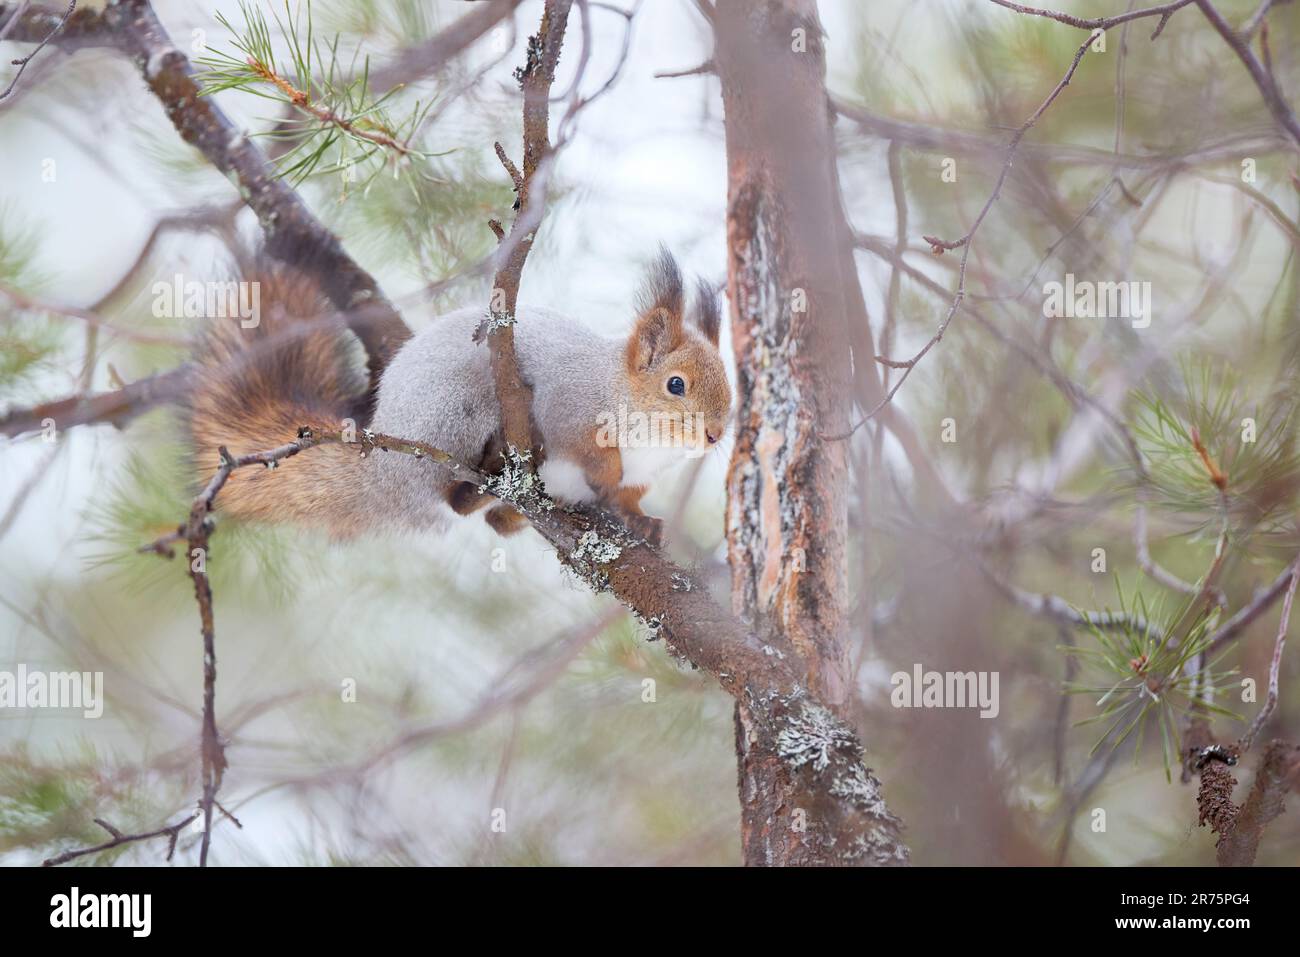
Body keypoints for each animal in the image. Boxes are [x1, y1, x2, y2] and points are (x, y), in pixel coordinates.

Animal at [188, 248, 732, 543]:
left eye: (730, 384)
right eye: (676, 384)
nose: (713, 435)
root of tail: (388, 460)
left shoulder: (645, 474)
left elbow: (629, 497)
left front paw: (642, 522)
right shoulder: (571, 403)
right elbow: (586, 449)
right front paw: (606, 474)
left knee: (491, 522)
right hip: (462, 409)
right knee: (457, 495)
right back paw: (499, 463)